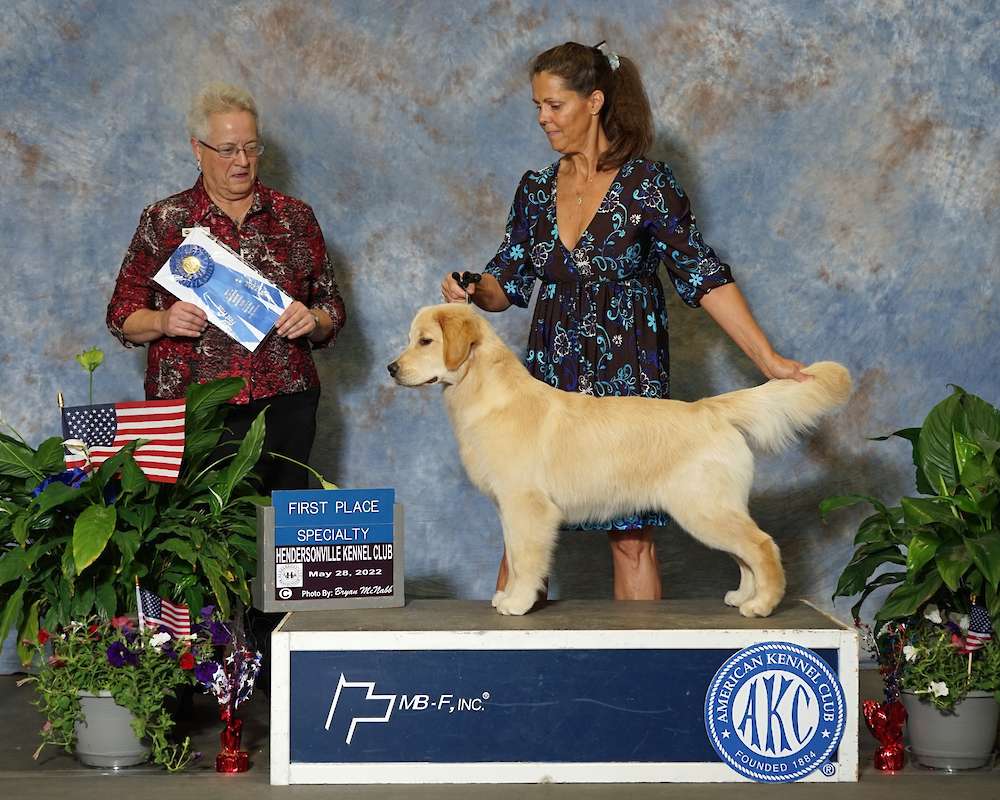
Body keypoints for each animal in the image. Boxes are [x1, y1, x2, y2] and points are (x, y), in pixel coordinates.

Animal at [386, 304, 848, 616]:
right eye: (411, 339)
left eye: (425, 341)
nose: (391, 368)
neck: (485, 392)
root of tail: (709, 409)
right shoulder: (510, 509)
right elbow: (514, 558)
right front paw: (509, 594)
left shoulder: (528, 507)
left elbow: (526, 559)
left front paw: (517, 602)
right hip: (713, 509)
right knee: (745, 553)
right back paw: (743, 597)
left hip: (703, 508)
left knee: (761, 545)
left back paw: (763, 604)